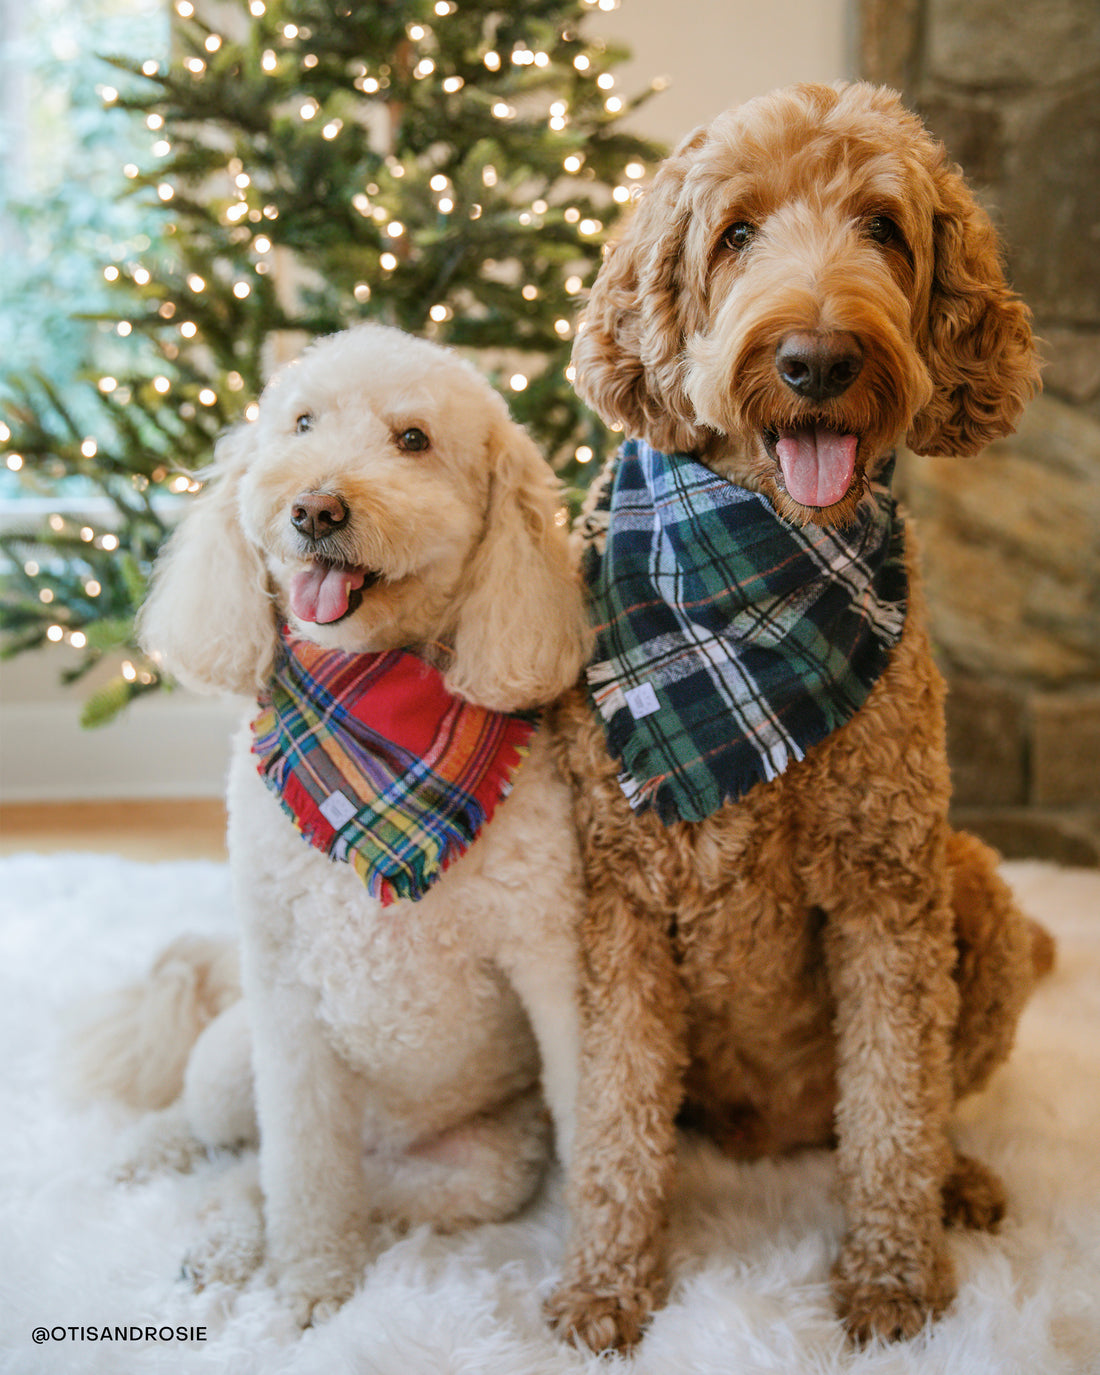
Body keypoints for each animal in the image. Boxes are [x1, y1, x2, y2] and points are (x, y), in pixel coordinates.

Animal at [76, 321, 594, 1320]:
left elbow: (599, 1107)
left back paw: (229, 1244)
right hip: (233, 1060)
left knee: (293, 1182)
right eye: (302, 423)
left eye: (413, 440)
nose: (315, 509)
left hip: (481, 1165)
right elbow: (304, 1170)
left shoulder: (550, 959)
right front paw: (314, 1283)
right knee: (223, 1138)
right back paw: (153, 1169)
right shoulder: (285, 1000)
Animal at [544, 83, 1050, 1353]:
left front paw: (889, 1282)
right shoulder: (621, 900)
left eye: (881, 227)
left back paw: (957, 1181)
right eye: (733, 235)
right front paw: (606, 1288)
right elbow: (616, 1115)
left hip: (973, 886)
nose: (815, 357)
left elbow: (894, 1104)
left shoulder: (886, 888)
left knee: (926, 1101)